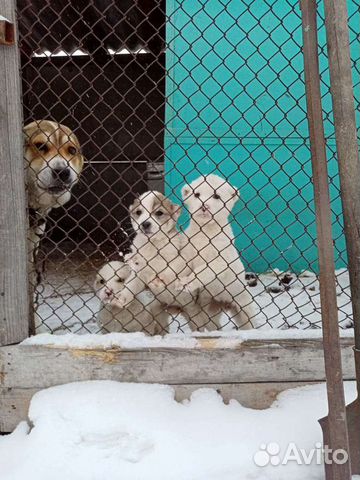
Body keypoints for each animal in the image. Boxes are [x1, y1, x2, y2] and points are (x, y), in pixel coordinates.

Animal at [176, 173, 255, 330]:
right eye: (197, 194)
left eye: (216, 196)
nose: (204, 206)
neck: (206, 231)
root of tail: (222, 302)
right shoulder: (188, 253)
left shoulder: (221, 260)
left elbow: (203, 270)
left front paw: (187, 283)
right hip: (208, 312)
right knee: (214, 325)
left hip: (244, 308)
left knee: (248, 324)